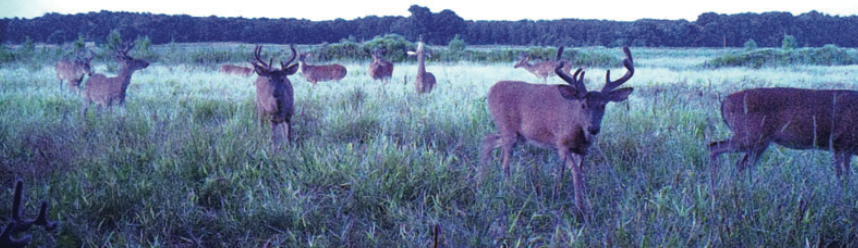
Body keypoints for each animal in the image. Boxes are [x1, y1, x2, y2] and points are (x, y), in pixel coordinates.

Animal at [482, 46, 636, 211]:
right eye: (583, 105)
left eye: (603, 106)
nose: (593, 128)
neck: (578, 130)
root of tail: (490, 91)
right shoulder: (562, 145)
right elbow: (575, 173)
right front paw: (580, 208)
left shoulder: (582, 151)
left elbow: (574, 172)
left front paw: (560, 196)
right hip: (507, 128)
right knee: (504, 160)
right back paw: (509, 191)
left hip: (516, 135)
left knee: (489, 141)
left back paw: (482, 180)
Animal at [704, 87, 856, 184]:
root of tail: (724, 102)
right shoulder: (839, 144)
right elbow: (842, 177)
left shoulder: (845, 149)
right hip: (751, 136)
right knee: (714, 147)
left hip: (756, 142)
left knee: (741, 164)